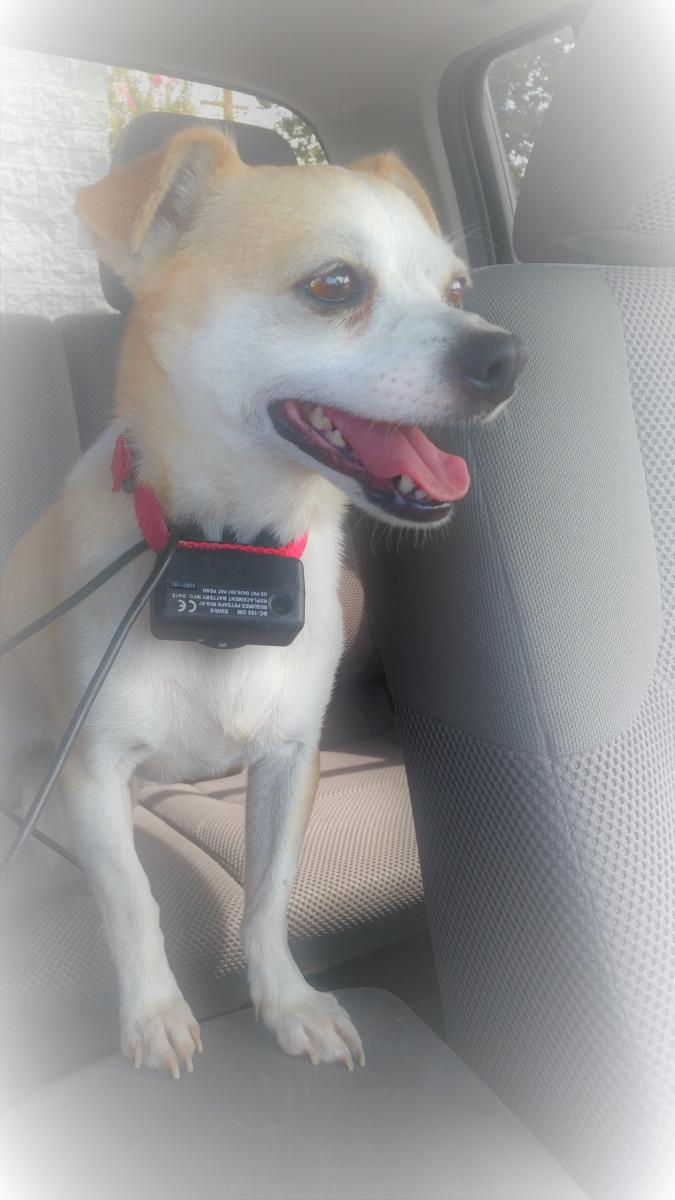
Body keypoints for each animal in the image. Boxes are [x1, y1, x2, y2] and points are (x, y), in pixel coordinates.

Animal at [0, 128, 525, 1076]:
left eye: (458, 290)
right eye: (335, 286)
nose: (505, 356)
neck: (232, 548)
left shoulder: (290, 761)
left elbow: (270, 892)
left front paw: (286, 1002)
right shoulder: (94, 774)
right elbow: (131, 898)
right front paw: (154, 1013)